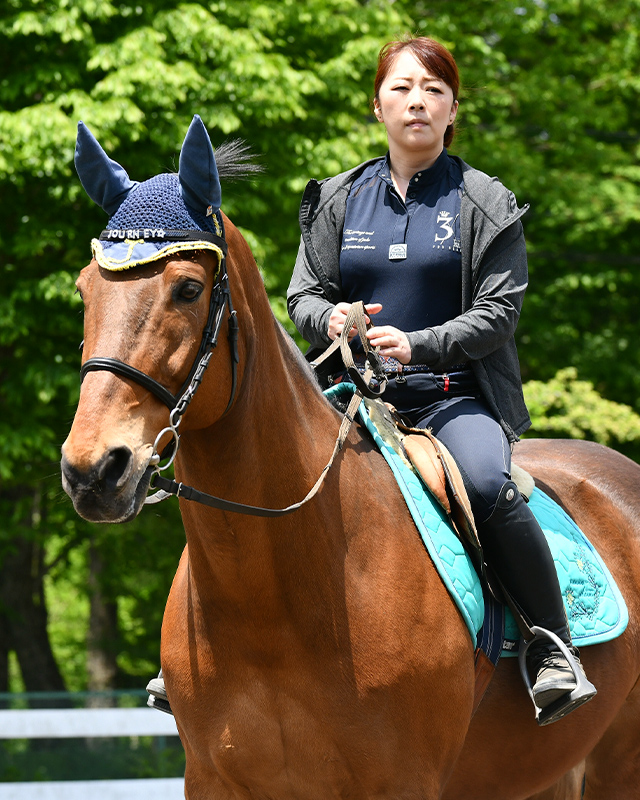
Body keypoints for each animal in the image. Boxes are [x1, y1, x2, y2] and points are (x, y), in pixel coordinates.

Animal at [62, 122, 640, 796]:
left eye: (187, 288)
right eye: (86, 288)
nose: (93, 470)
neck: (276, 597)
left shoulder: (401, 781)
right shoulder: (212, 779)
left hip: (617, 761)